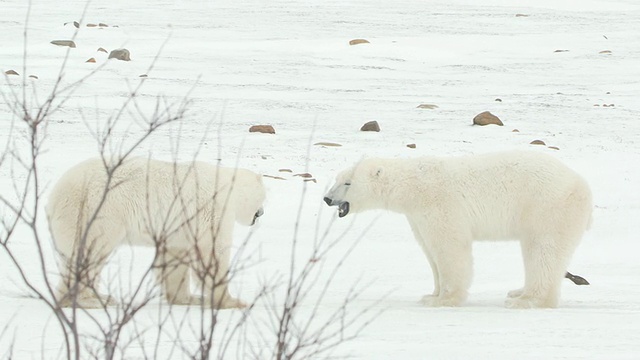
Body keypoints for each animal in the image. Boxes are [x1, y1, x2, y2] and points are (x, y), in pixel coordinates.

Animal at [45, 158, 264, 310]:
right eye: (263, 197)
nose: (261, 213)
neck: (228, 185)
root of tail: (55, 196)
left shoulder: (179, 225)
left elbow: (175, 257)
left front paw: (189, 298)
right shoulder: (211, 210)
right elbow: (213, 252)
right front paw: (233, 302)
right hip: (96, 211)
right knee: (91, 253)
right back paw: (94, 301)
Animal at [328, 150, 592, 308]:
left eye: (347, 183)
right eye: (337, 179)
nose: (327, 198)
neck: (412, 186)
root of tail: (583, 185)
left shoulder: (440, 204)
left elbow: (449, 247)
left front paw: (445, 299)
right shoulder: (417, 218)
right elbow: (430, 251)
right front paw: (431, 294)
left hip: (545, 207)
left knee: (542, 250)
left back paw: (527, 300)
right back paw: (517, 292)